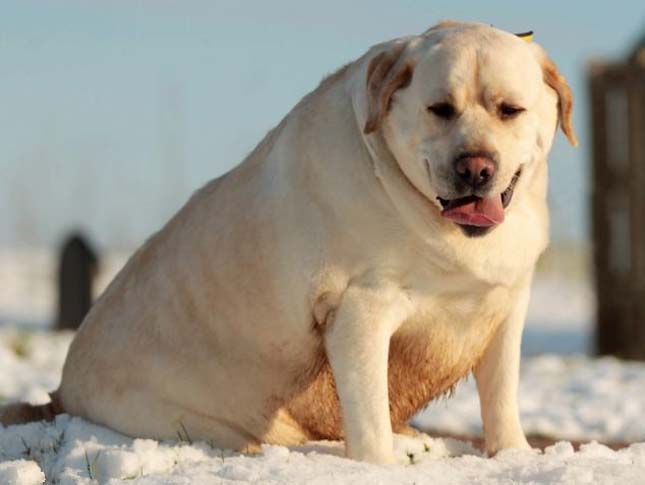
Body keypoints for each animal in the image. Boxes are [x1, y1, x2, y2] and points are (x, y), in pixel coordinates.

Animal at [2, 21, 576, 462]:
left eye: (509, 109)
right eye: (441, 109)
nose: (475, 168)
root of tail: (61, 392)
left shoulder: (506, 304)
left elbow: (500, 398)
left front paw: (515, 456)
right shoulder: (360, 311)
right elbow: (368, 415)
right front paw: (379, 466)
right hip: (197, 421)